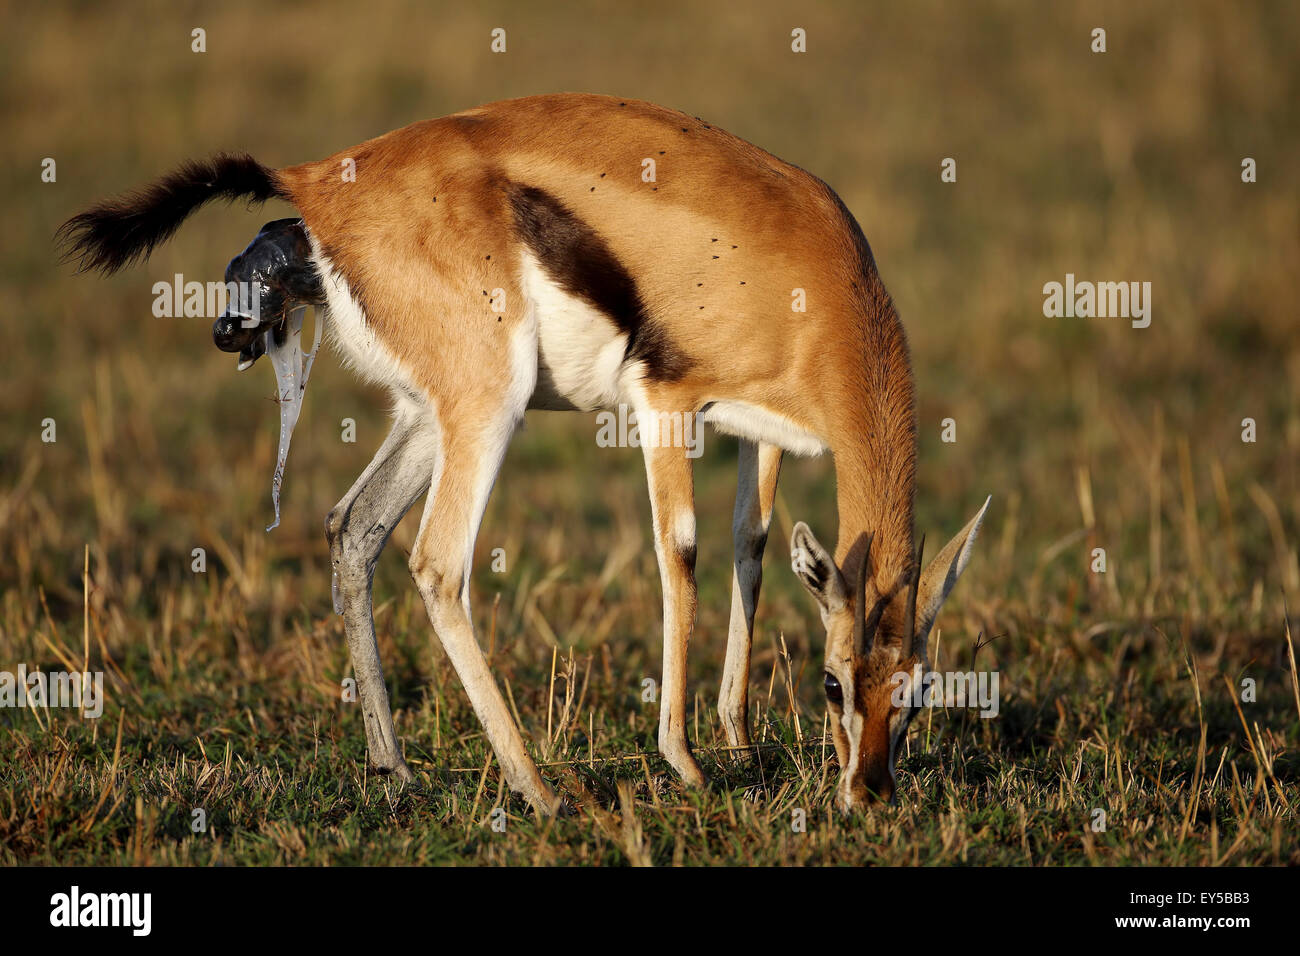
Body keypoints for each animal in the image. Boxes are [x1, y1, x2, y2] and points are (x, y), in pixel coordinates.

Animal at [58, 93, 989, 813]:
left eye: (920, 688)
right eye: (833, 683)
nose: (869, 792)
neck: (814, 281)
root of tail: (314, 183)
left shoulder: (763, 433)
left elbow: (750, 550)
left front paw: (735, 737)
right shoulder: (666, 403)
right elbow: (681, 553)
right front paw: (686, 763)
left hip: (427, 415)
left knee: (351, 528)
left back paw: (396, 772)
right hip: (487, 405)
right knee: (437, 565)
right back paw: (537, 790)